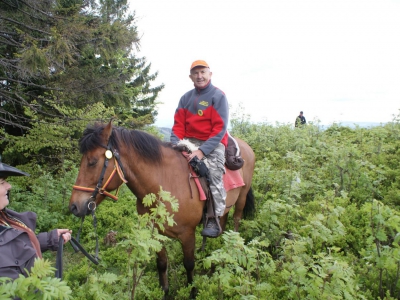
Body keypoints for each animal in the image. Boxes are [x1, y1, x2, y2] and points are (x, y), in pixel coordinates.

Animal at [69, 120, 256, 298]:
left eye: (92, 162)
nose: (74, 206)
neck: (165, 183)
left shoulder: (188, 234)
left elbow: (189, 264)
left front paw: (192, 291)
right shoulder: (156, 234)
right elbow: (162, 264)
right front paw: (165, 292)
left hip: (241, 197)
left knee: (236, 220)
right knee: (222, 222)